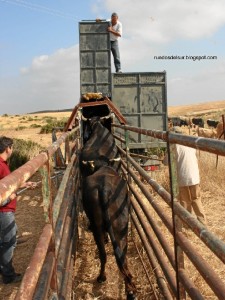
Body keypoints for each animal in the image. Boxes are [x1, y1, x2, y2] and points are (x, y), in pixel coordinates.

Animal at [79, 116, 136, 298]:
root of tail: (103, 188)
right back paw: (128, 289)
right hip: (121, 226)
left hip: (103, 225)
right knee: (120, 255)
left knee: (105, 253)